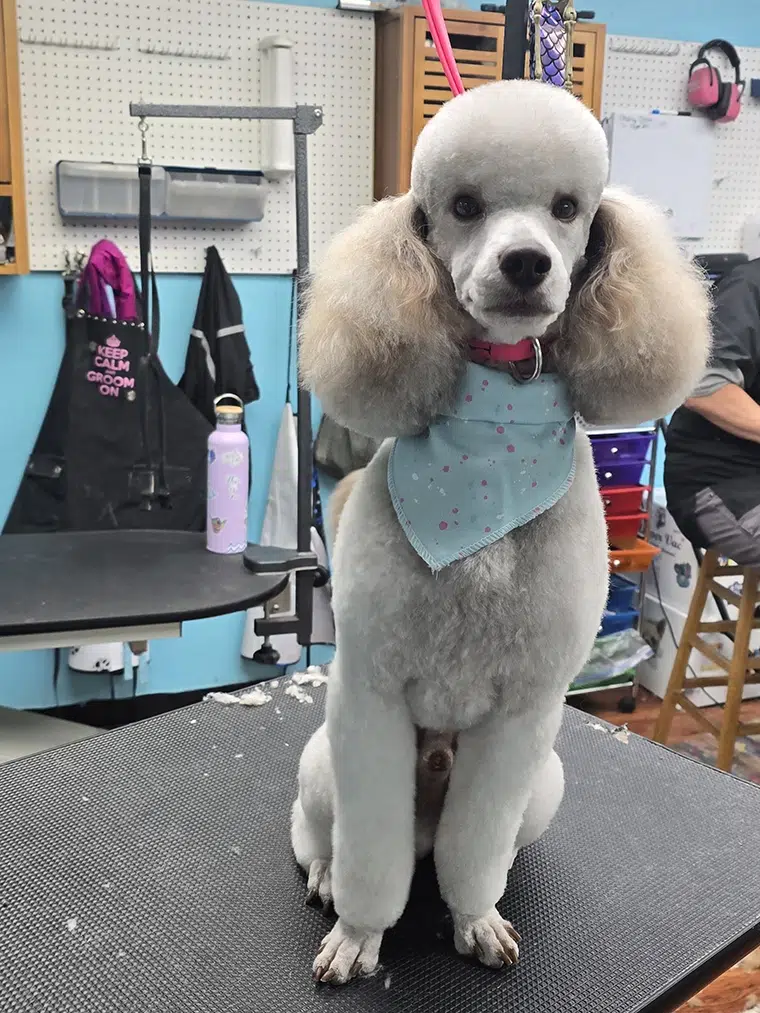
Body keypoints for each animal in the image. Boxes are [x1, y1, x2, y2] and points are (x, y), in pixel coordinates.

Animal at [292, 80, 711, 984]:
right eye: (463, 206)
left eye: (567, 209)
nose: (526, 263)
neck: (491, 442)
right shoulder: (371, 695)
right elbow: (369, 855)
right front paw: (360, 932)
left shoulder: (525, 710)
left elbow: (475, 848)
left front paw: (474, 919)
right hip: (322, 759)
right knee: (322, 832)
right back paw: (323, 873)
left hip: (546, 781)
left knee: (464, 843)